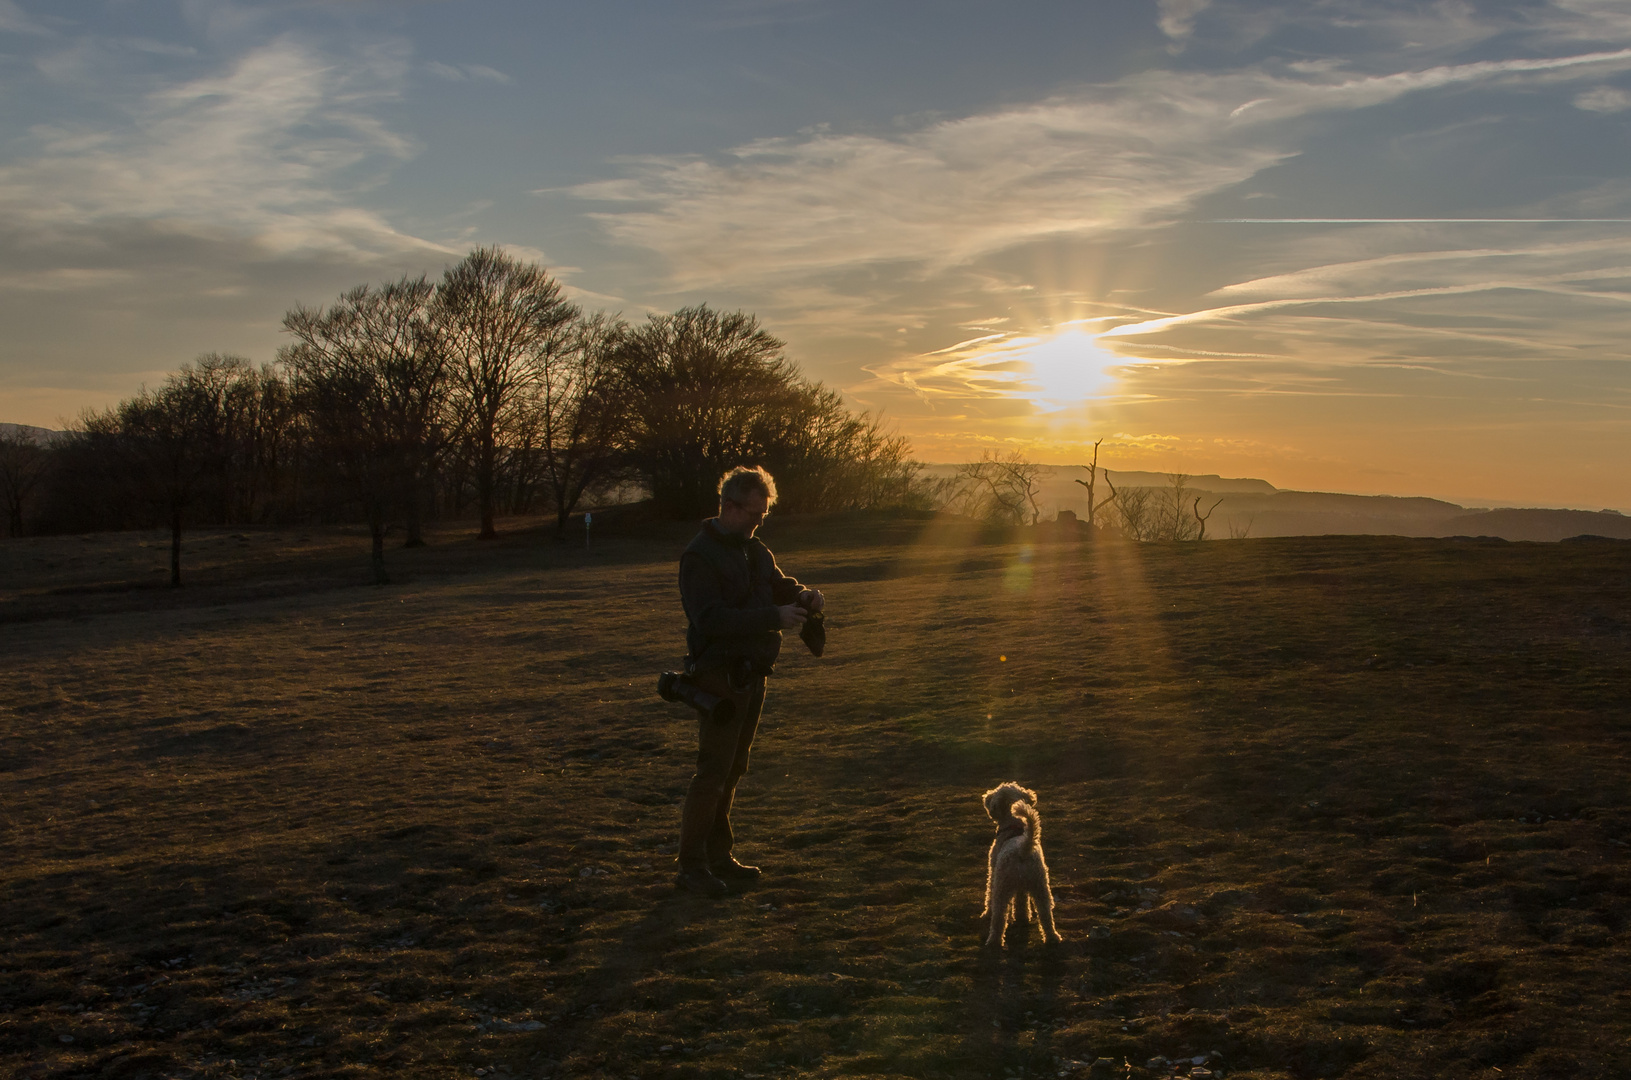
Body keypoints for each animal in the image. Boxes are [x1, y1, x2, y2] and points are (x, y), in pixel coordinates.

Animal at [972, 786, 1063, 946]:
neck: (1014, 825)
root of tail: (1023, 849)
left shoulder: (993, 872)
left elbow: (989, 894)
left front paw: (987, 914)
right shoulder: (1022, 885)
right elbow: (1021, 901)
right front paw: (1022, 918)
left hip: (1002, 887)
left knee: (999, 916)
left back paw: (993, 941)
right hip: (1040, 887)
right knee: (1046, 914)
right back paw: (1052, 937)